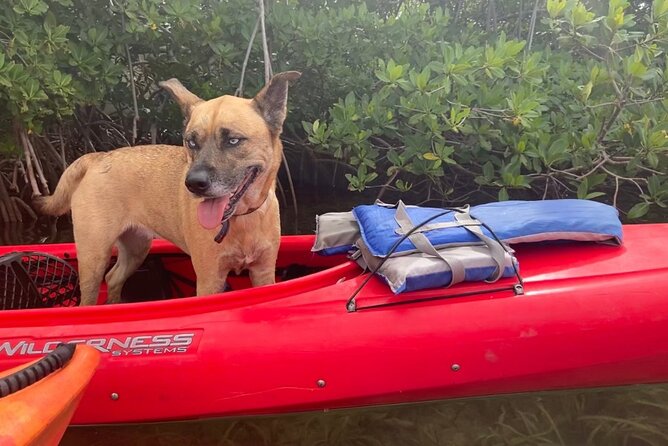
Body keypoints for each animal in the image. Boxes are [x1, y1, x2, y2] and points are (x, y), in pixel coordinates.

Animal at [34, 71, 300, 304]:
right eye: (191, 142)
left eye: (233, 140)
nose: (194, 184)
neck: (242, 219)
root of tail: (97, 157)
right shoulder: (209, 280)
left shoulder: (264, 272)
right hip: (94, 256)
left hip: (137, 247)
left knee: (113, 278)